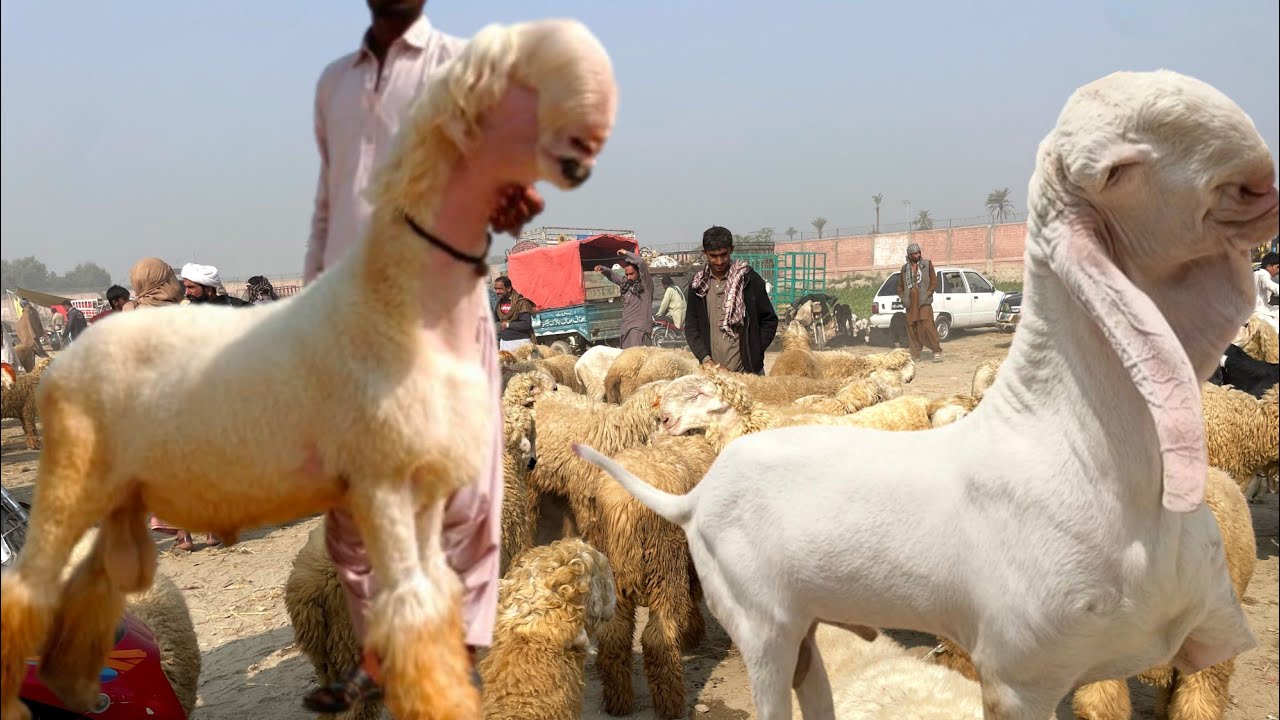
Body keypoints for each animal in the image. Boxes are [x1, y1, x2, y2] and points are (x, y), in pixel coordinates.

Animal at [591, 433, 717, 719]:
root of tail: (624, 508)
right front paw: (693, 633)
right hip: (665, 564)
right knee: (658, 637)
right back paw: (671, 705)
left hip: (614, 572)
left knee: (614, 634)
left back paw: (618, 702)